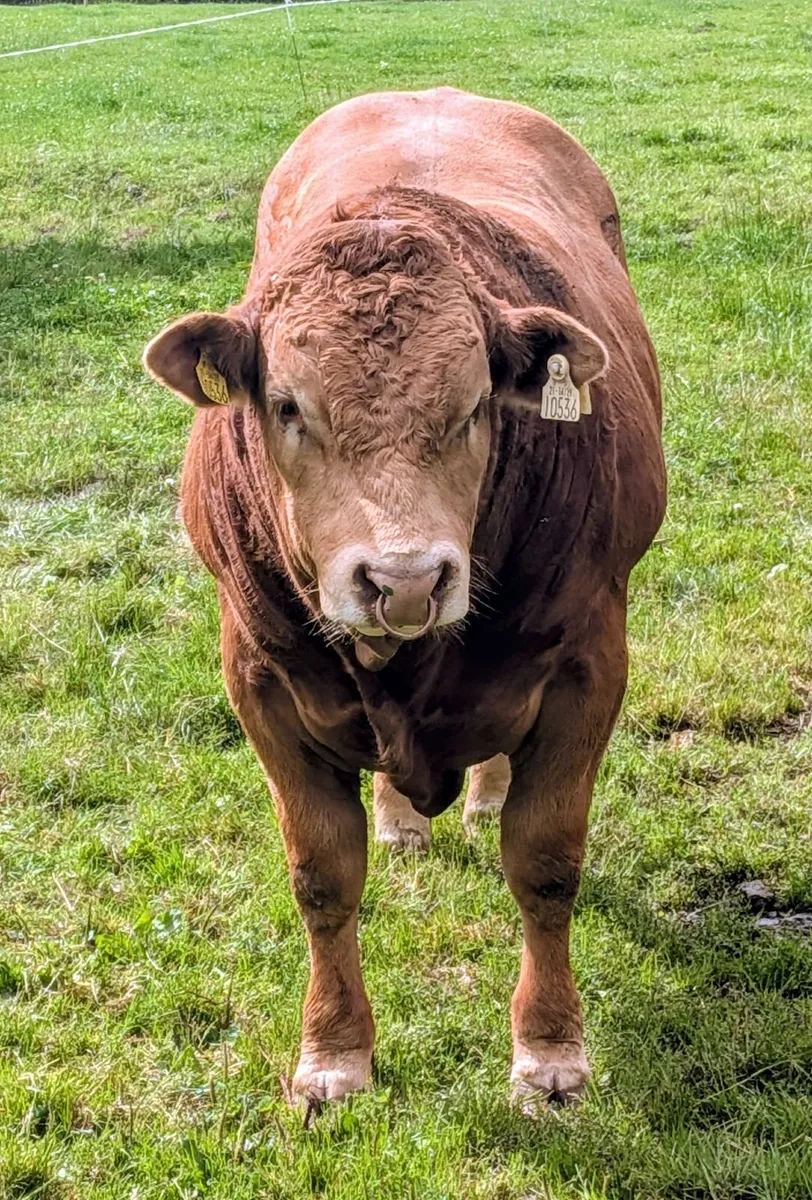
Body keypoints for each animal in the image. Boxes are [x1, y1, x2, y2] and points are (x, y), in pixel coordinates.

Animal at [144, 88, 666, 1109]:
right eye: (289, 405)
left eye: (475, 406)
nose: (408, 579)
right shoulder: (257, 678)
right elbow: (320, 875)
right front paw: (333, 1054)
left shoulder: (588, 664)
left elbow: (545, 863)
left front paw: (550, 1053)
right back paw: (399, 819)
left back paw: (481, 802)